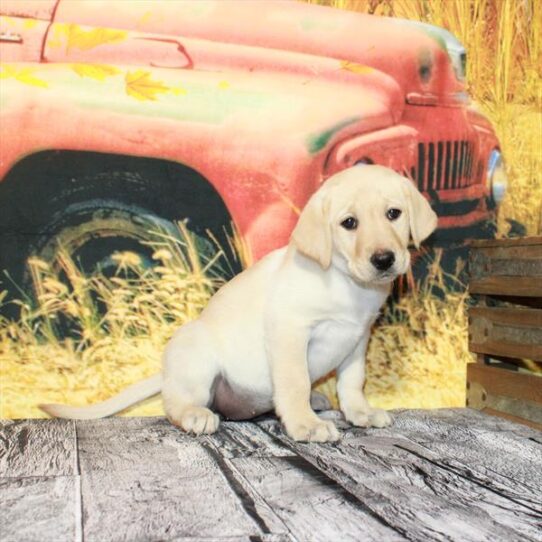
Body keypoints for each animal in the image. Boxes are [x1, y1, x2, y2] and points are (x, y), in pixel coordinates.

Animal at [44, 168, 440, 444]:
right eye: (349, 223)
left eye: (393, 213)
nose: (384, 259)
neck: (347, 283)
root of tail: (166, 374)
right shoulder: (289, 331)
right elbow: (295, 382)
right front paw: (305, 425)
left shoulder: (358, 339)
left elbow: (352, 383)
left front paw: (360, 413)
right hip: (197, 356)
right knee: (174, 404)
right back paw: (196, 415)